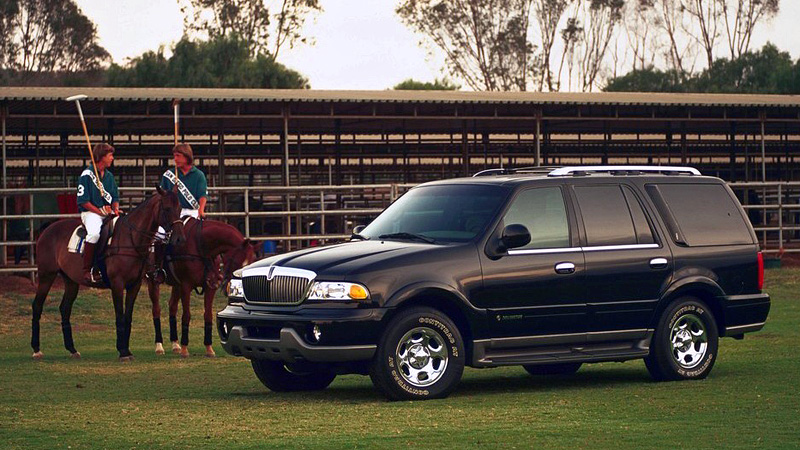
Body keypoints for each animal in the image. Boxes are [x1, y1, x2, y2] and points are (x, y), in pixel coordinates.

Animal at [31, 187, 186, 362]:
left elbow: (128, 316)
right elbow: (119, 315)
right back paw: (36, 349)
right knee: (37, 306)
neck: (131, 240)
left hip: (71, 281)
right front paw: (123, 351)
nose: (180, 239)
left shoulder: (134, 285)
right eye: (167, 208)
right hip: (46, 275)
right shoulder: (117, 284)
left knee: (65, 309)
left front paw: (126, 349)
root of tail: (47, 229)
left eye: (180, 208)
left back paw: (72, 349)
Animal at [145, 218, 255, 358]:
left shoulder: (210, 287)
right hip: (153, 281)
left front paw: (209, 348)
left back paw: (175, 344)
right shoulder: (186, 286)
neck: (201, 247)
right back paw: (159, 346)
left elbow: (208, 315)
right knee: (156, 310)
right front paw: (185, 349)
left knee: (172, 307)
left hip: (176, 285)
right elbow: (186, 315)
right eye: (238, 262)